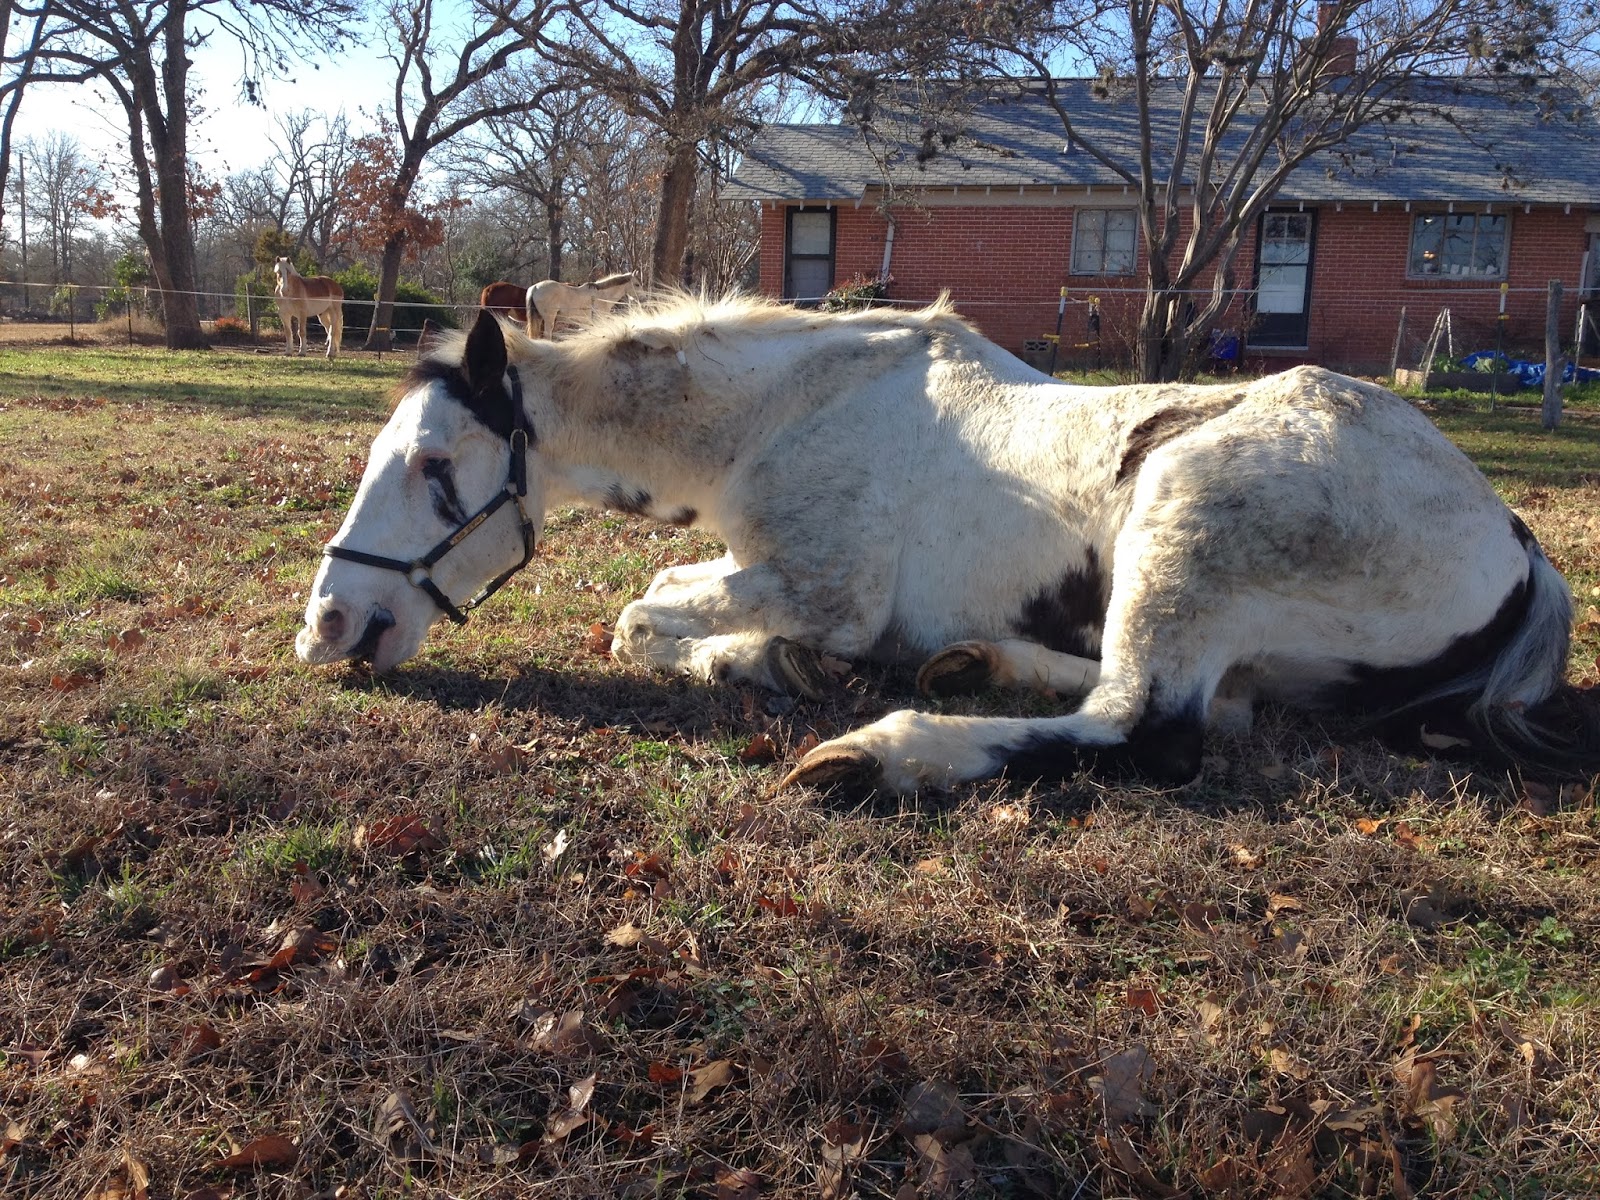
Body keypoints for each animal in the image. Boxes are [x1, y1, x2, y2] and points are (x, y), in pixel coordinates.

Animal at [295, 295, 1595, 795]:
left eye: (434, 466)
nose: (329, 627)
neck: (786, 411)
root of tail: (1518, 545)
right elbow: (654, 605)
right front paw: (762, 662)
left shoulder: (826, 587)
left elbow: (648, 612)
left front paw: (776, 665)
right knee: (1205, 706)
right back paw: (969, 665)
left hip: (1185, 514)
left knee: (1149, 729)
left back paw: (881, 751)